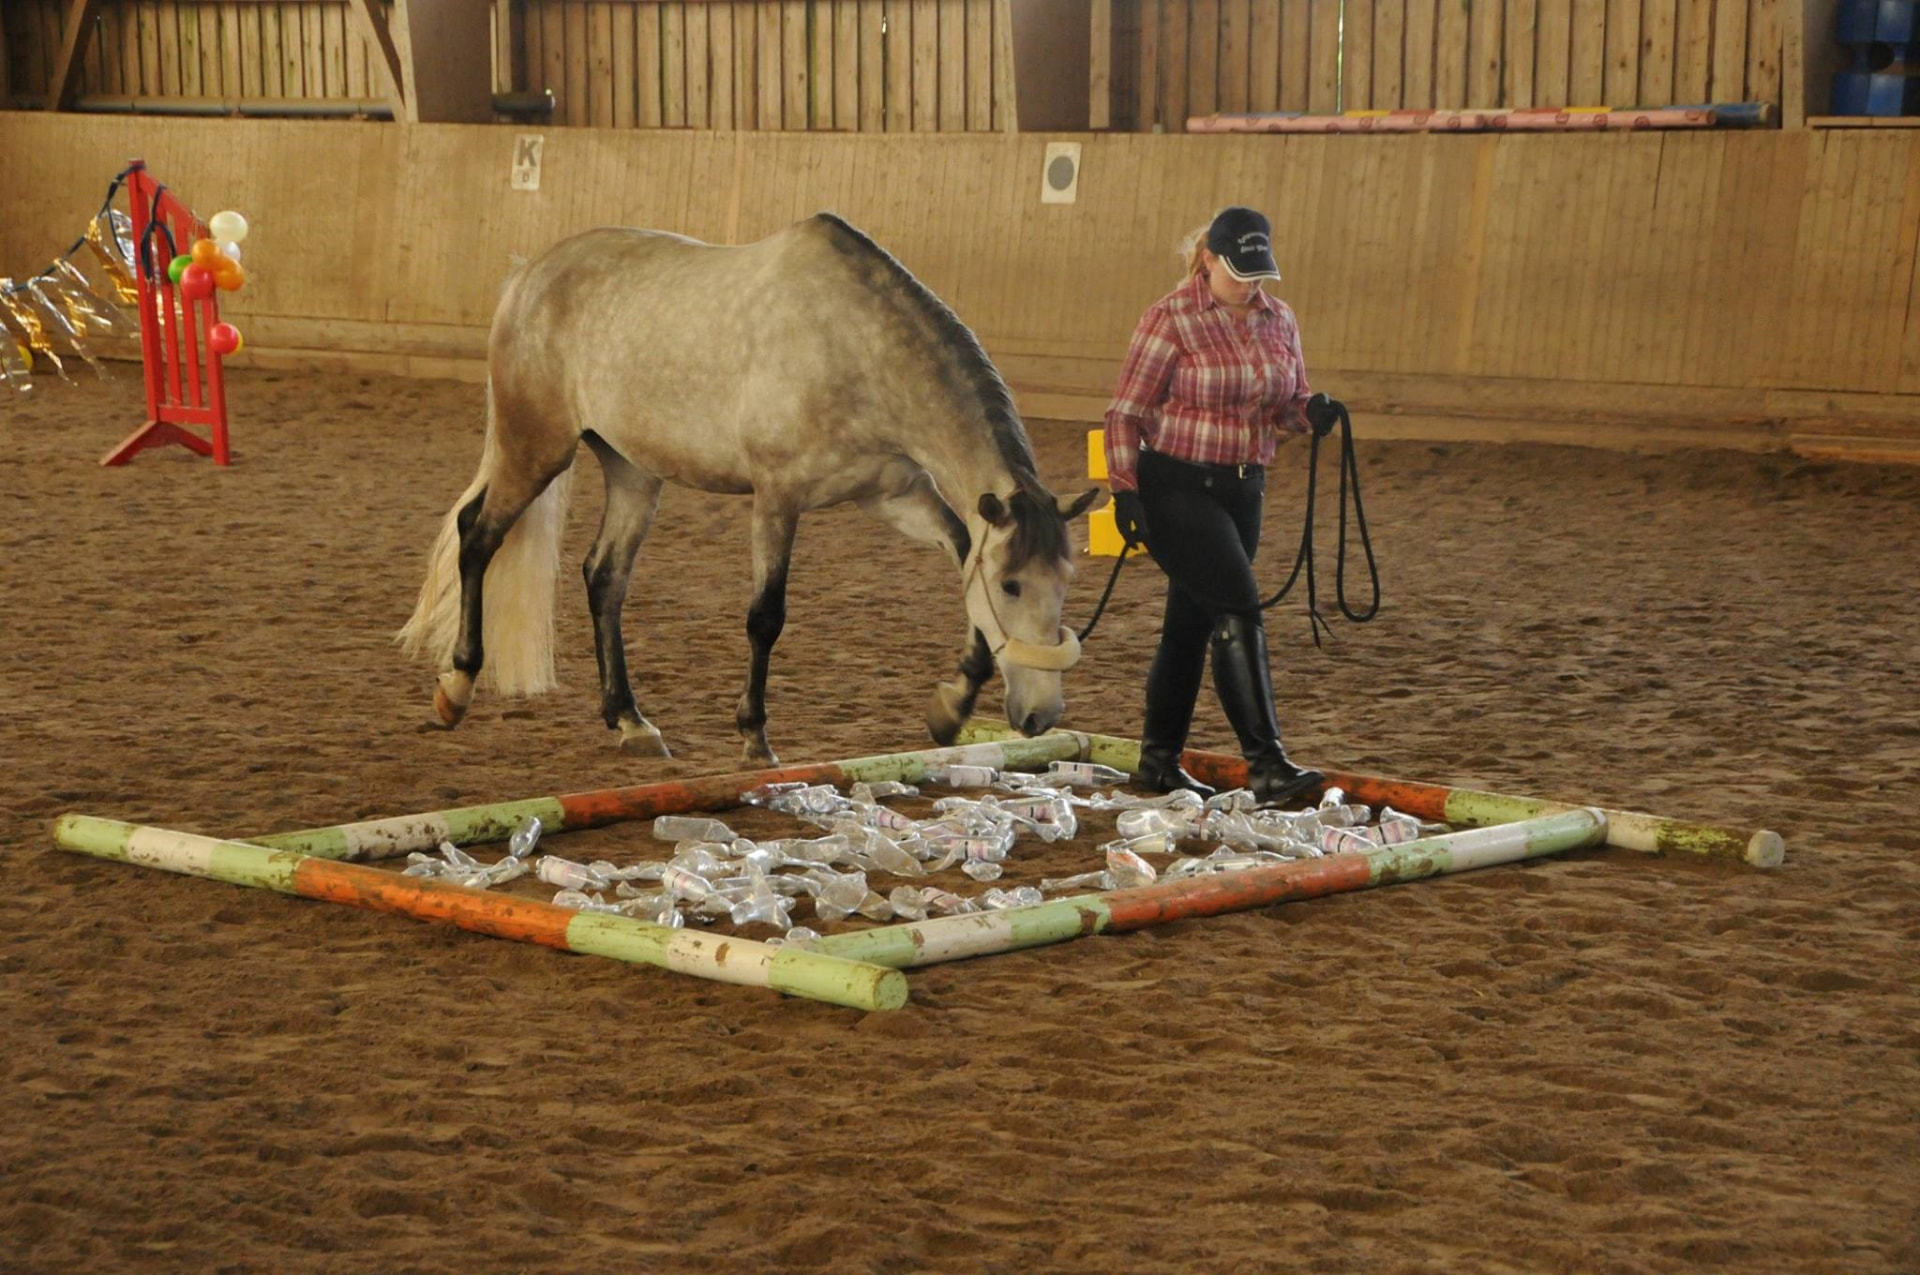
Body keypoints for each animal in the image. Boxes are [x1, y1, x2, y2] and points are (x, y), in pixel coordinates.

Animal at [398, 213, 1103, 765]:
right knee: (477, 537)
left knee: (604, 577)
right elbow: (766, 617)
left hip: (633, 470)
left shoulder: (892, 495)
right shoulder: (777, 498)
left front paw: (950, 707)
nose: (1042, 714)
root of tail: (529, 276)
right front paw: (754, 737)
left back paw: (630, 720)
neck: (854, 348)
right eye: (1012, 586)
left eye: (1064, 582)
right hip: (536, 449)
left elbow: (960, 554)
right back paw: (455, 689)